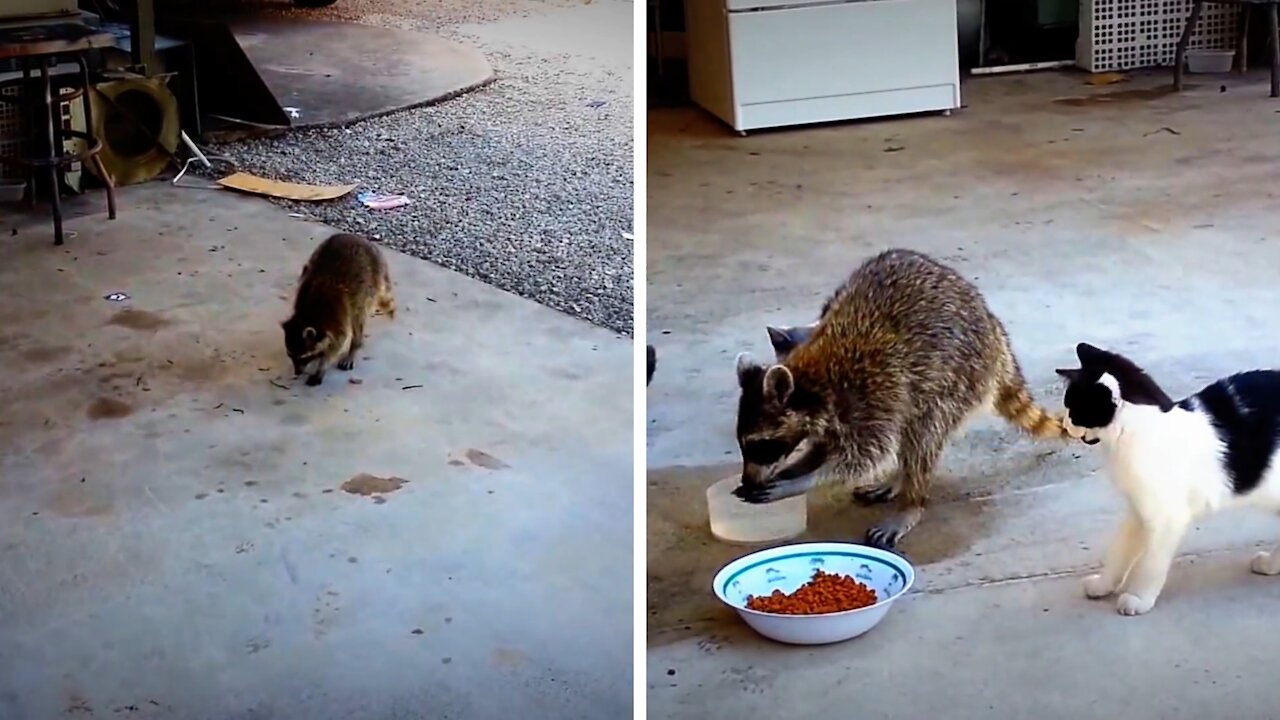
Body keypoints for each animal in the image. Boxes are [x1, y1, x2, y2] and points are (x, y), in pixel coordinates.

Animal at [281, 233, 391, 384]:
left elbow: (339, 340)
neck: (308, 314)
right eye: (290, 354)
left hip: (370, 286)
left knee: (358, 317)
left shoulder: (338, 311)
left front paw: (322, 367)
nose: (297, 372)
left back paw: (354, 347)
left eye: (303, 357)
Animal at [737, 248, 1064, 548]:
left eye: (761, 445)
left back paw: (911, 500)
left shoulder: (873, 396)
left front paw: (800, 482)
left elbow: (865, 457)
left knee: (924, 434)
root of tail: (994, 329)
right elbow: (824, 448)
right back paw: (899, 480)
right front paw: (795, 469)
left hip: (958, 378)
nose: (747, 481)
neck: (813, 381)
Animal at [1059, 340, 1280, 609]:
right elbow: (1119, 550)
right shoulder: (1139, 509)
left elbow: (1150, 564)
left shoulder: (1167, 518)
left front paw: (1139, 599)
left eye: (1073, 409)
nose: (1064, 425)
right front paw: (1103, 585)